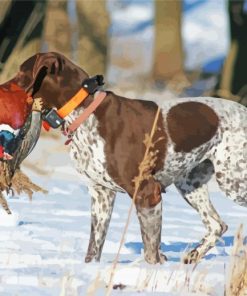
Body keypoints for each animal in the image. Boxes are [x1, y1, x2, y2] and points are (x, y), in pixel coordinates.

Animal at [16, 51, 245, 264]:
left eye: (21, 73)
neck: (84, 112)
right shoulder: (102, 194)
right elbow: (94, 248)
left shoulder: (147, 193)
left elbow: (151, 250)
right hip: (190, 183)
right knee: (217, 225)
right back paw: (194, 255)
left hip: (233, 182)